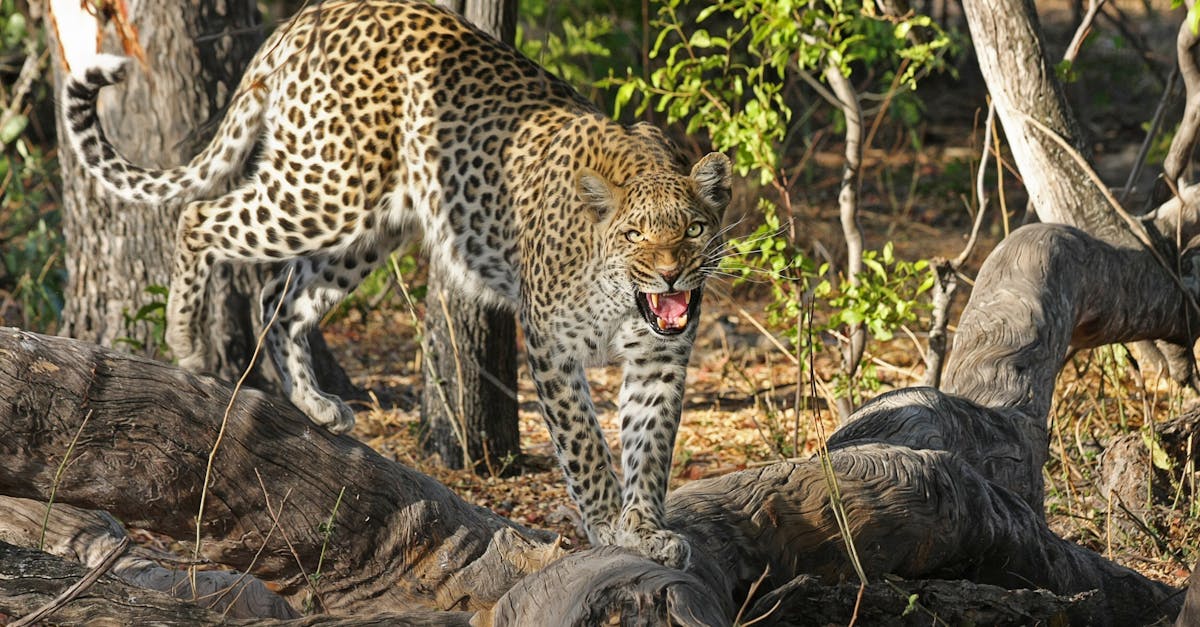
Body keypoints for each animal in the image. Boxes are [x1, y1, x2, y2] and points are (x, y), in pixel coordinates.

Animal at [63, 0, 729, 566]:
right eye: (635, 234)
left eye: (694, 229)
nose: (670, 272)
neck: (624, 298)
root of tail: (309, 16)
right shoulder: (550, 345)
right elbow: (586, 446)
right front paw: (608, 525)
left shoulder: (661, 359)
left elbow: (651, 447)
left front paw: (644, 530)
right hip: (326, 190)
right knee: (199, 217)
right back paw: (186, 341)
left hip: (368, 228)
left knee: (279, 296)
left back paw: (314, 403)